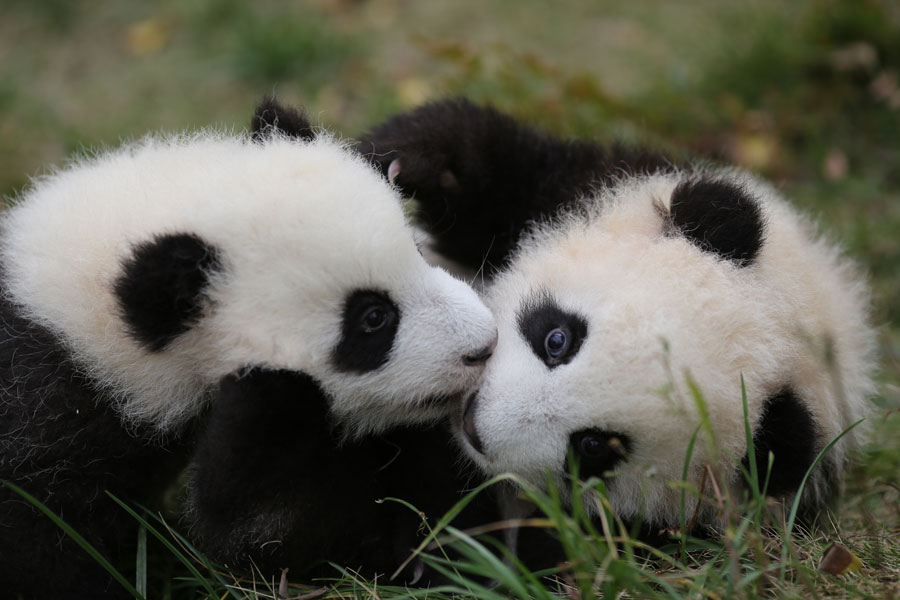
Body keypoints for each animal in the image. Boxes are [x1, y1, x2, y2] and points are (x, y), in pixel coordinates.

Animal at [361, 99, 876, 548]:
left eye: (594, 446)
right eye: (558, 339)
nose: (477, 424)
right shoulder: (587, 188)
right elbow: (496, 170)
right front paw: (403, 160)